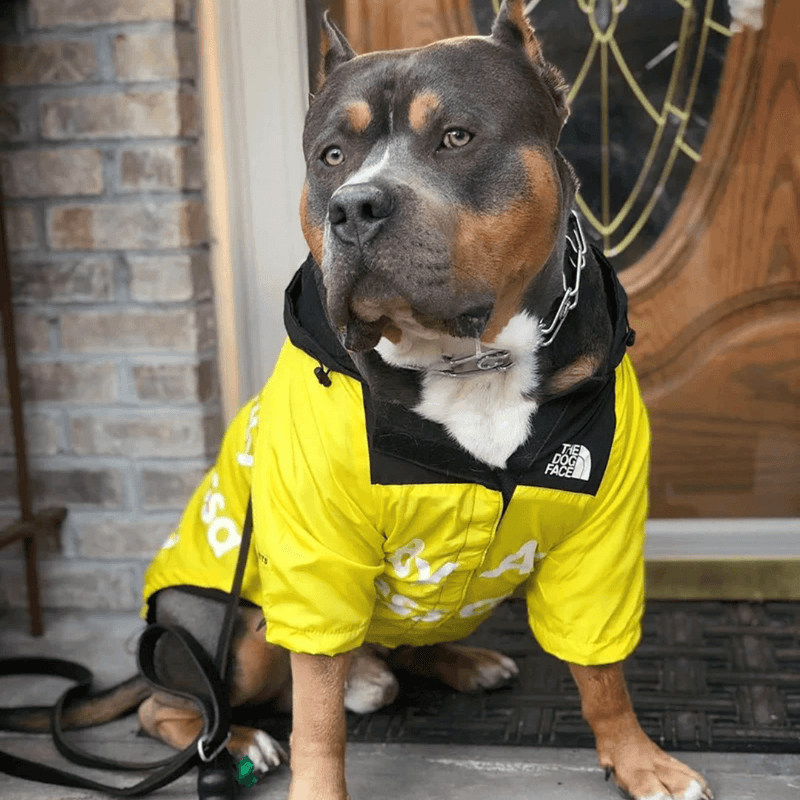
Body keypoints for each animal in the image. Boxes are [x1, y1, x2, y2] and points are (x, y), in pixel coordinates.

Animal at [4, 3, 712, 796]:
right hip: (229, 634)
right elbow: (317, 716)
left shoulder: (601, 542)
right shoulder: (317, 559)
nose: (355, 208)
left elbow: (603, 670)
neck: (472, 360)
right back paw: (241, 736)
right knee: (176, 708)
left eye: (457, 136)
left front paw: (638, 758)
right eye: (332, 156)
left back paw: (445, 664)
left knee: (397, 649)